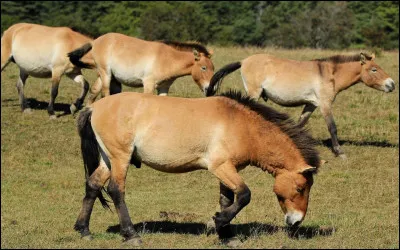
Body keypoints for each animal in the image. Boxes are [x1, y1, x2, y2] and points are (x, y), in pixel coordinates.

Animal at [68, 32, 216, 104]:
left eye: (213, 68)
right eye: (203, 68)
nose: (212, 89)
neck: (167, 59)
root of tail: (95, 41)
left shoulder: (163, 88)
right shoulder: (149, 85)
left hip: (106, 75)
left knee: (93, 92)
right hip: (106, 74)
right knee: (104, 94)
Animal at [73, 90, 320, 246]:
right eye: (301, 188)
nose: (296, 222)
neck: (243, 126)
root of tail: (93, 107)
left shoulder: (228, 170)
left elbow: (228, 200)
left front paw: (227, 236)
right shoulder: (220, 167)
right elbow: (244, 195)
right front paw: (216, 223)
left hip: (108, 160)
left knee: (93, 185)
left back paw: (83, 230)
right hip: (120, 157)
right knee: (116, 190)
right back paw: (131, 235)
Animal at [206, 52, 396, 158]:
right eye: (374, 69)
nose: (392, 84)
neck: (329, 74)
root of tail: (244, 61)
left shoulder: (311, 105)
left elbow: (300, 123)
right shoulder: (325, 104)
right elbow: (332, 127)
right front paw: (339, 152)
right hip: (254, 93)